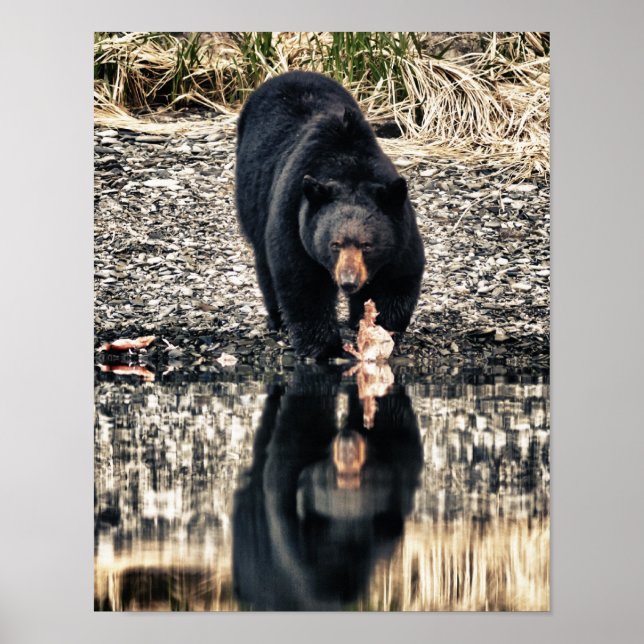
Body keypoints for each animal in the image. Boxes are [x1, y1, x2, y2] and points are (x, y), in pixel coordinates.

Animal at [235, 70, 425, 359]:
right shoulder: (295, 215)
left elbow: (396, 279)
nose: (348, 282)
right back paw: (277, 319)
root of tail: (291, 73)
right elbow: (303, 284)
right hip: (252, 197)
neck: (348, 164)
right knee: (264, 258)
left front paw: (380, 334)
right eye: (334, 244)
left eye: (367, 245)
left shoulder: (400, 227)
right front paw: (325, 349)